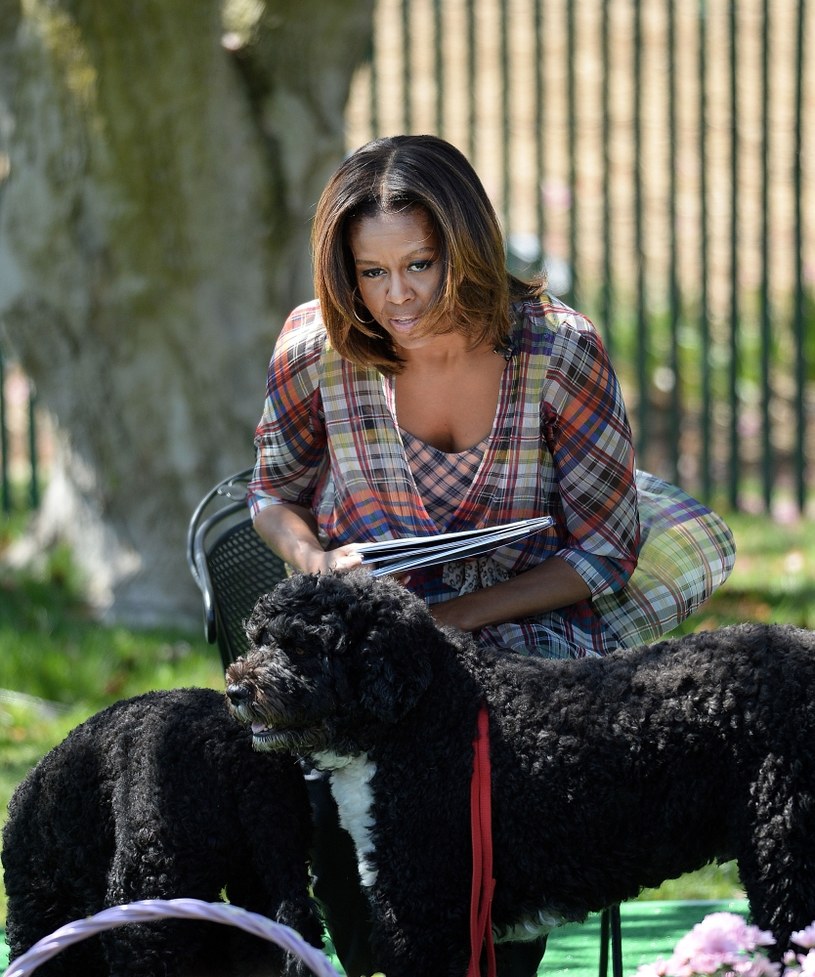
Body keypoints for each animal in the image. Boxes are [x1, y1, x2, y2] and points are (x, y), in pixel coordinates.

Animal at [225, 564, 815, 976]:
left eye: (304, 646)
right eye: (259, 639)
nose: (234, 690)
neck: (428, 711)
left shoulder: (424, 905)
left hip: (785, 856)